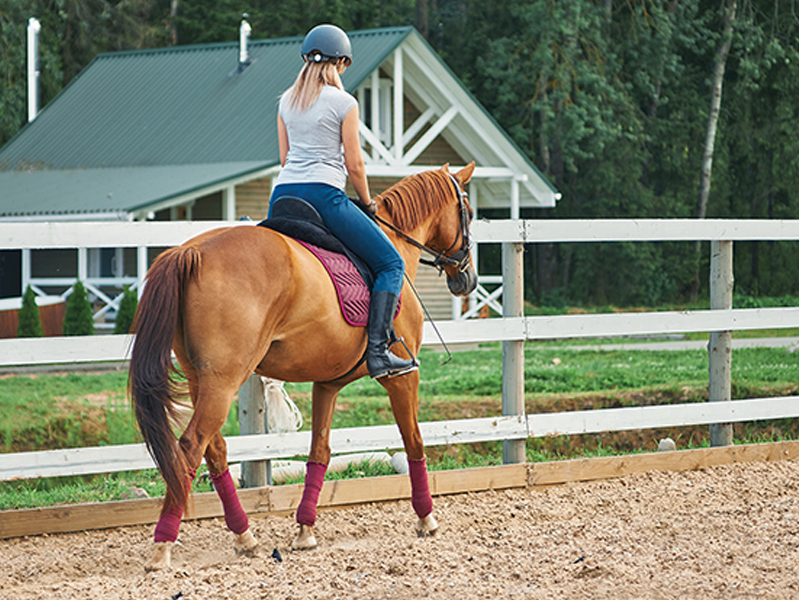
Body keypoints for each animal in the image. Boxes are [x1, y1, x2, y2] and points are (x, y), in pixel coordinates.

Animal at [130, 163, 477, 571]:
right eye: (469, 212)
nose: (466, 278)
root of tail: (190, 251)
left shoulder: (326, 384)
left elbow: (319, 452)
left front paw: (305, 530)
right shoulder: (403, 376)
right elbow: (414, 442)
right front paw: (426, 519)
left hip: (204, 380)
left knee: (214, 450)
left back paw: (245, 537)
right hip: (223, 381)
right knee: (189, 447)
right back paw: (162, 546)